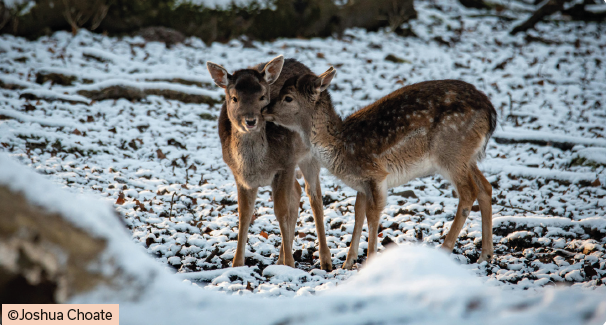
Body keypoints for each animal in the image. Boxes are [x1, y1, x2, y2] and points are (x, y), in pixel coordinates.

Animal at [208, 55, 332, 268]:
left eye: (262, 96)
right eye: (234, 98)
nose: (250, 121)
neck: (257, 166)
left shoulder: (286, 164)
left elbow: (281, 211)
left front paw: (290, 264)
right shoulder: (239, 175)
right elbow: (244, 214)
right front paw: (237, 264)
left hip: (310, 155)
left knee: (314, 196)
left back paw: (325, 260)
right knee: (297, 192)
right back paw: (281, 257)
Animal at [264, 67, 498, 268]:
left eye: (288, 97)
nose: (265, 109)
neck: (341, 147)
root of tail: (491, 113)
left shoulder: (376, 174)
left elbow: (372, 215)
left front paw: (368, 260)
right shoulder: (362, 183)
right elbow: (358, 213)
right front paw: (348, 262)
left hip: (451, 152)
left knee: (468, 192)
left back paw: (445, 248)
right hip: (467, 156)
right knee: (485, 187)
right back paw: (485, 255)